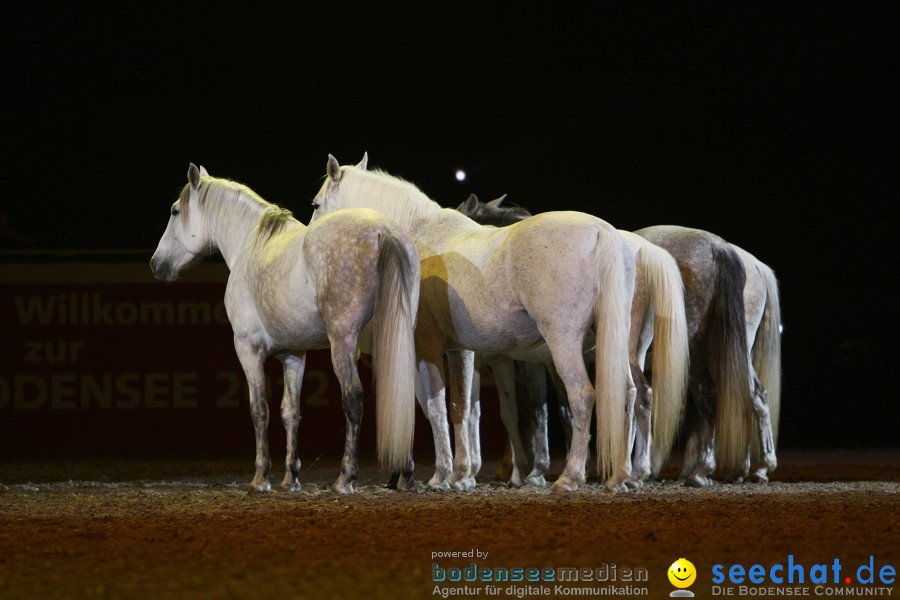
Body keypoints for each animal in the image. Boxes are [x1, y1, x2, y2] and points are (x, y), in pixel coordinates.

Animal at [153, 163, 420, 492]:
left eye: (175, 211)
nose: (156, 264)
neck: (252, 244)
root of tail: (383, 230)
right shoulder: (294, 355)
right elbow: (290, 412)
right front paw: (291, 477)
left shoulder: (247, 348)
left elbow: (259, 409)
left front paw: (261, 477)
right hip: (394, 339)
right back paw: (404, 474)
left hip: (343, 341)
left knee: (353, 397)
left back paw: (345, 477)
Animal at [312, 155, 636, 492]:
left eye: (316, 203)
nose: (311, 236)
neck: (419, 236)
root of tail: (602, 232)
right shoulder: (459, 351)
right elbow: (460, 408)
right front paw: (459, 474)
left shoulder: (426, 347)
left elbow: (435, 407)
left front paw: (441, 475)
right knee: (626, 393)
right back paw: (620, 476)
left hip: (563, 343)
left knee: (582, 395)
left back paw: (570, 476)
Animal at [458, 197, 688, 488]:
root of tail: (644, 251)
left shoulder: (519, 361)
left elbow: (523, 409)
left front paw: (526, 470)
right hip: (631, 350)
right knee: (639, 394)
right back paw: (632, 473)